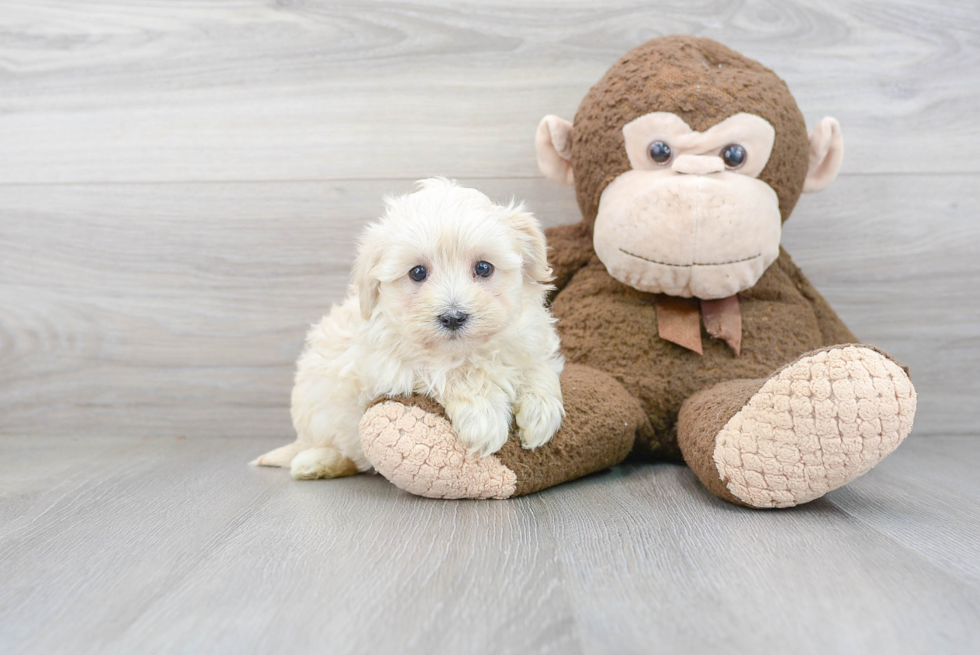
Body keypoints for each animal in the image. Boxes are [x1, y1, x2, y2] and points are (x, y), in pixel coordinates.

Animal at [251, 179, 568, 482]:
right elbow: (455, 374)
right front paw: (484, 416)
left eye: (483, 268)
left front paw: (541, 411)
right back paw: (316, 463)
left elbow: (536, 365)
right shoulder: (390, 366)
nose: (453, 317)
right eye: (417, 273)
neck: (467, 349)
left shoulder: (528, 338)